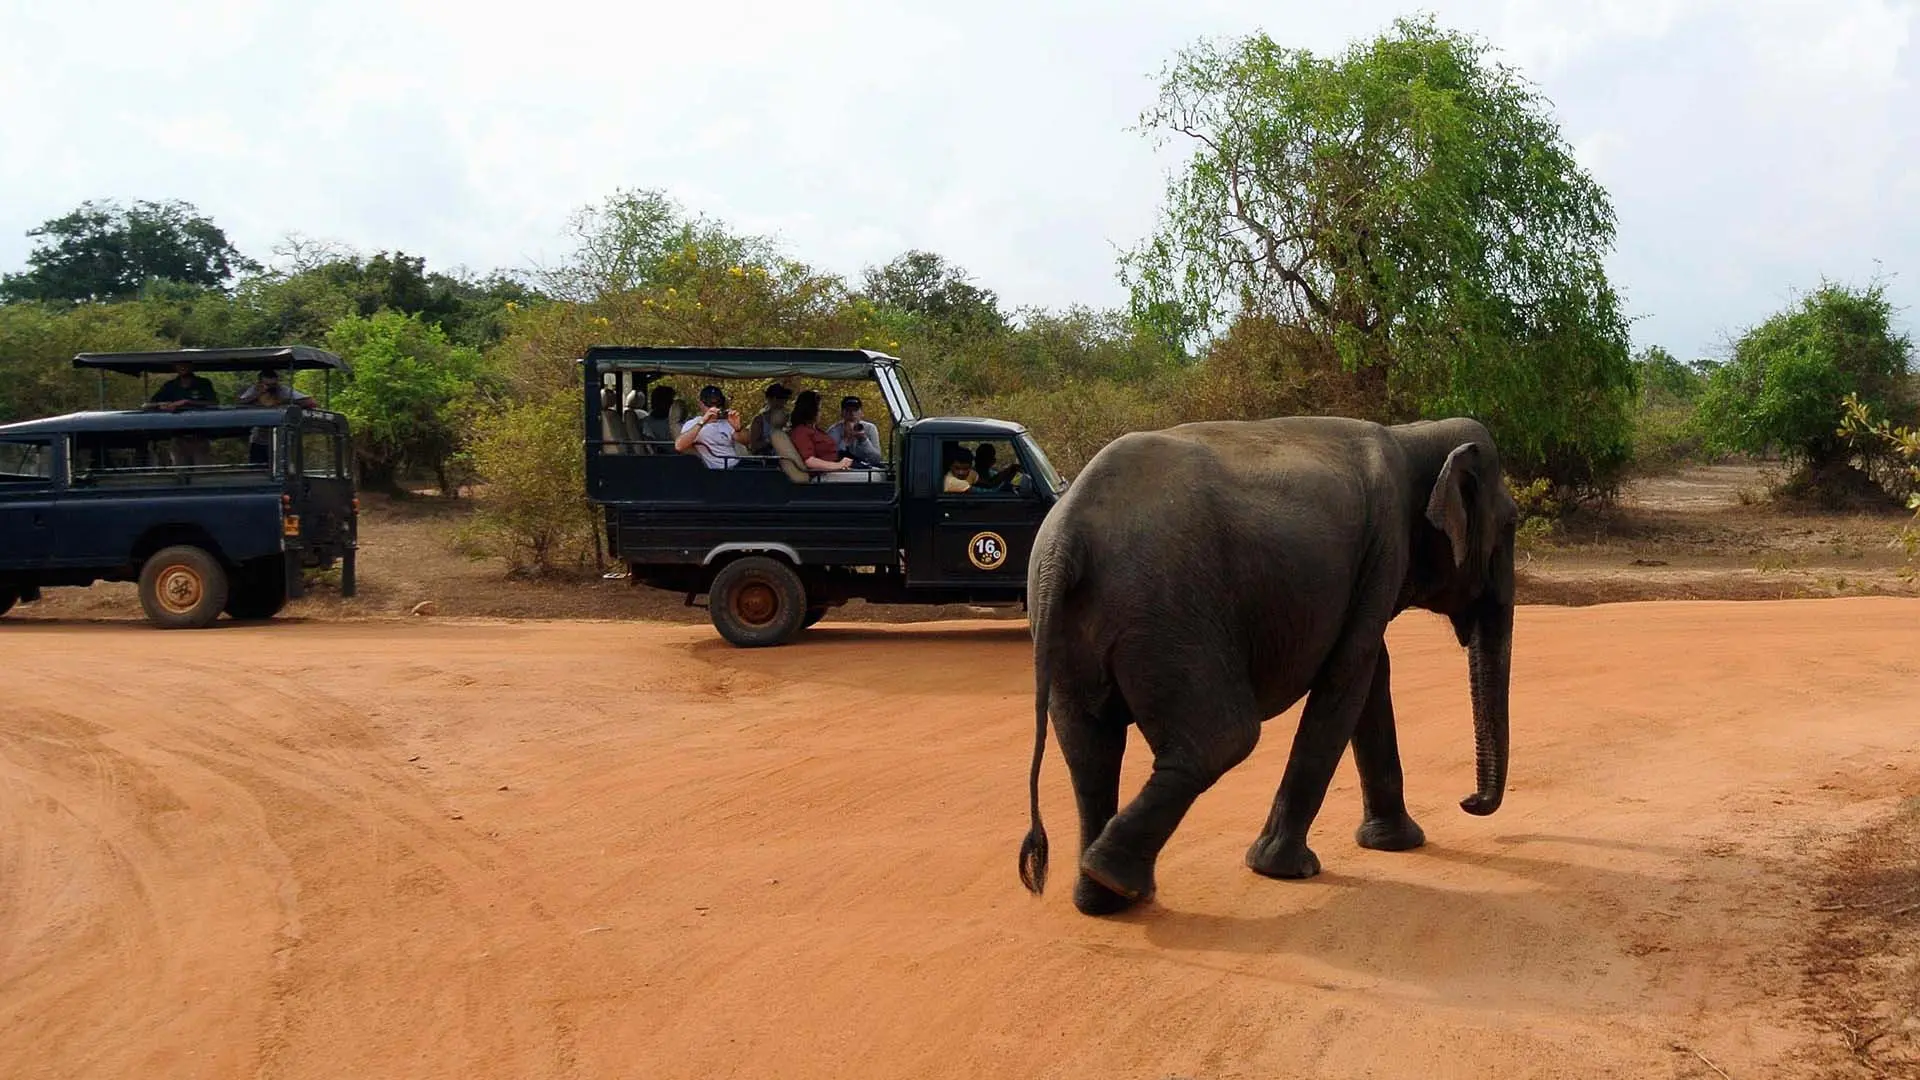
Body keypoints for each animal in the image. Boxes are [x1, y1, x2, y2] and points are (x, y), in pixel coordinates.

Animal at [1017, 415, 1519, 915]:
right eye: (1511, 525)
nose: (1468, 801)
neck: (1412, 434)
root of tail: (1066, 538)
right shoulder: (1385, 547)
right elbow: (1350, 676)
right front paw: (1286, 869)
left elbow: (1371, 673)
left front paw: (1395, 843)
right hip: (1169, 614)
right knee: (1222, 739)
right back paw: (1115, 879)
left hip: (1074, 628)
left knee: (1090, 751)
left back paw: (1102, 898)